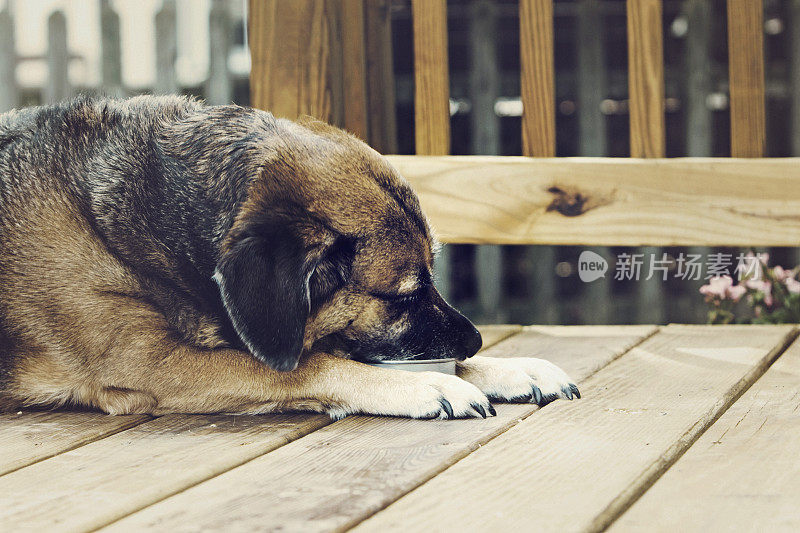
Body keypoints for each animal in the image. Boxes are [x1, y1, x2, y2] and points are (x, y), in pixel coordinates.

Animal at [0, 96, 580, 420]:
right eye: (405, 294)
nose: (478, 339)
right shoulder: (151, 363)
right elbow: (309, 366)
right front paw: (421, 384)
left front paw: (504, 367)